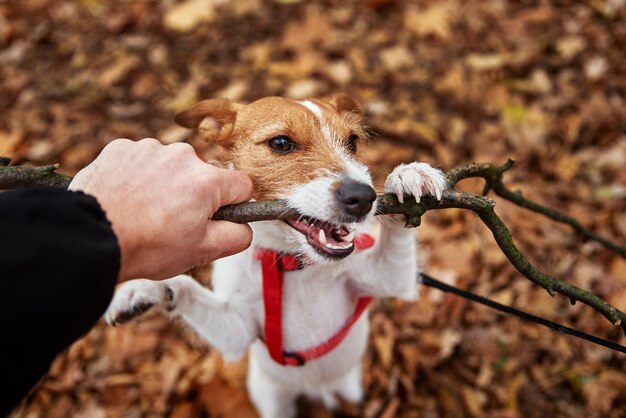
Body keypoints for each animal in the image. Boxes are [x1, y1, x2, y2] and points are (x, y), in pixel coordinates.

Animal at [103, 95, 444, 418]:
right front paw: (144, 288)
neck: (292, 264)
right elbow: (186, 288)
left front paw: (408, 176)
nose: (363, 197)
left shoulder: (387, 280)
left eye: (352, 142)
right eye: (280, 143)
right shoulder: (237, 329)